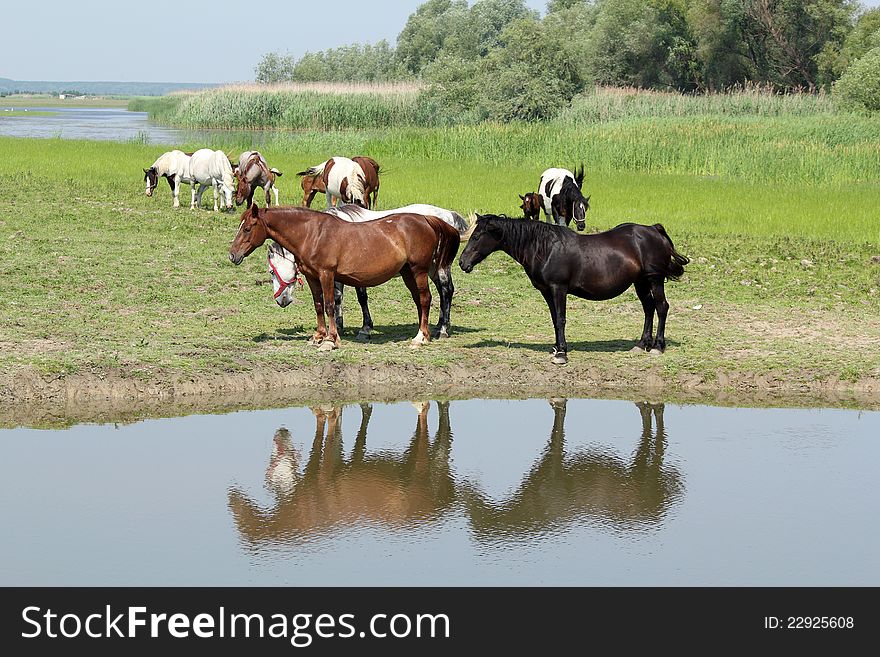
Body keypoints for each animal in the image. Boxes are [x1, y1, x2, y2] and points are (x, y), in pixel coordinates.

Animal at [227, 205, 460, 352]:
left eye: (247, 228)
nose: (232, 255)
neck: (312, 233)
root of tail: (427, 220)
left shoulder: (327, 274)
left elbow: (331, 305)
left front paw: (331, 340)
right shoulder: (313, 277)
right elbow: (319, 305)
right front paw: (318, 336)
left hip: (419, 270)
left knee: (427, 298)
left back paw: (422, 337)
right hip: (407, 273)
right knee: (420, 300)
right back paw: (425, 333)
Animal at [458, 215, 692, 364]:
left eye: (477, 236)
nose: (462, 262)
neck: (545, 248)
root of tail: (653, 230)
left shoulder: (558, 289)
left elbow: (561, 319)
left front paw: (562, 353)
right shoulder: (546, 291)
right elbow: (554, 319)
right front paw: (556, 348)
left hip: (655, 279)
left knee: (661, 307)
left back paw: (657, 347)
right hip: (641, 282)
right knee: (648, 309)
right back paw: (641, 344)